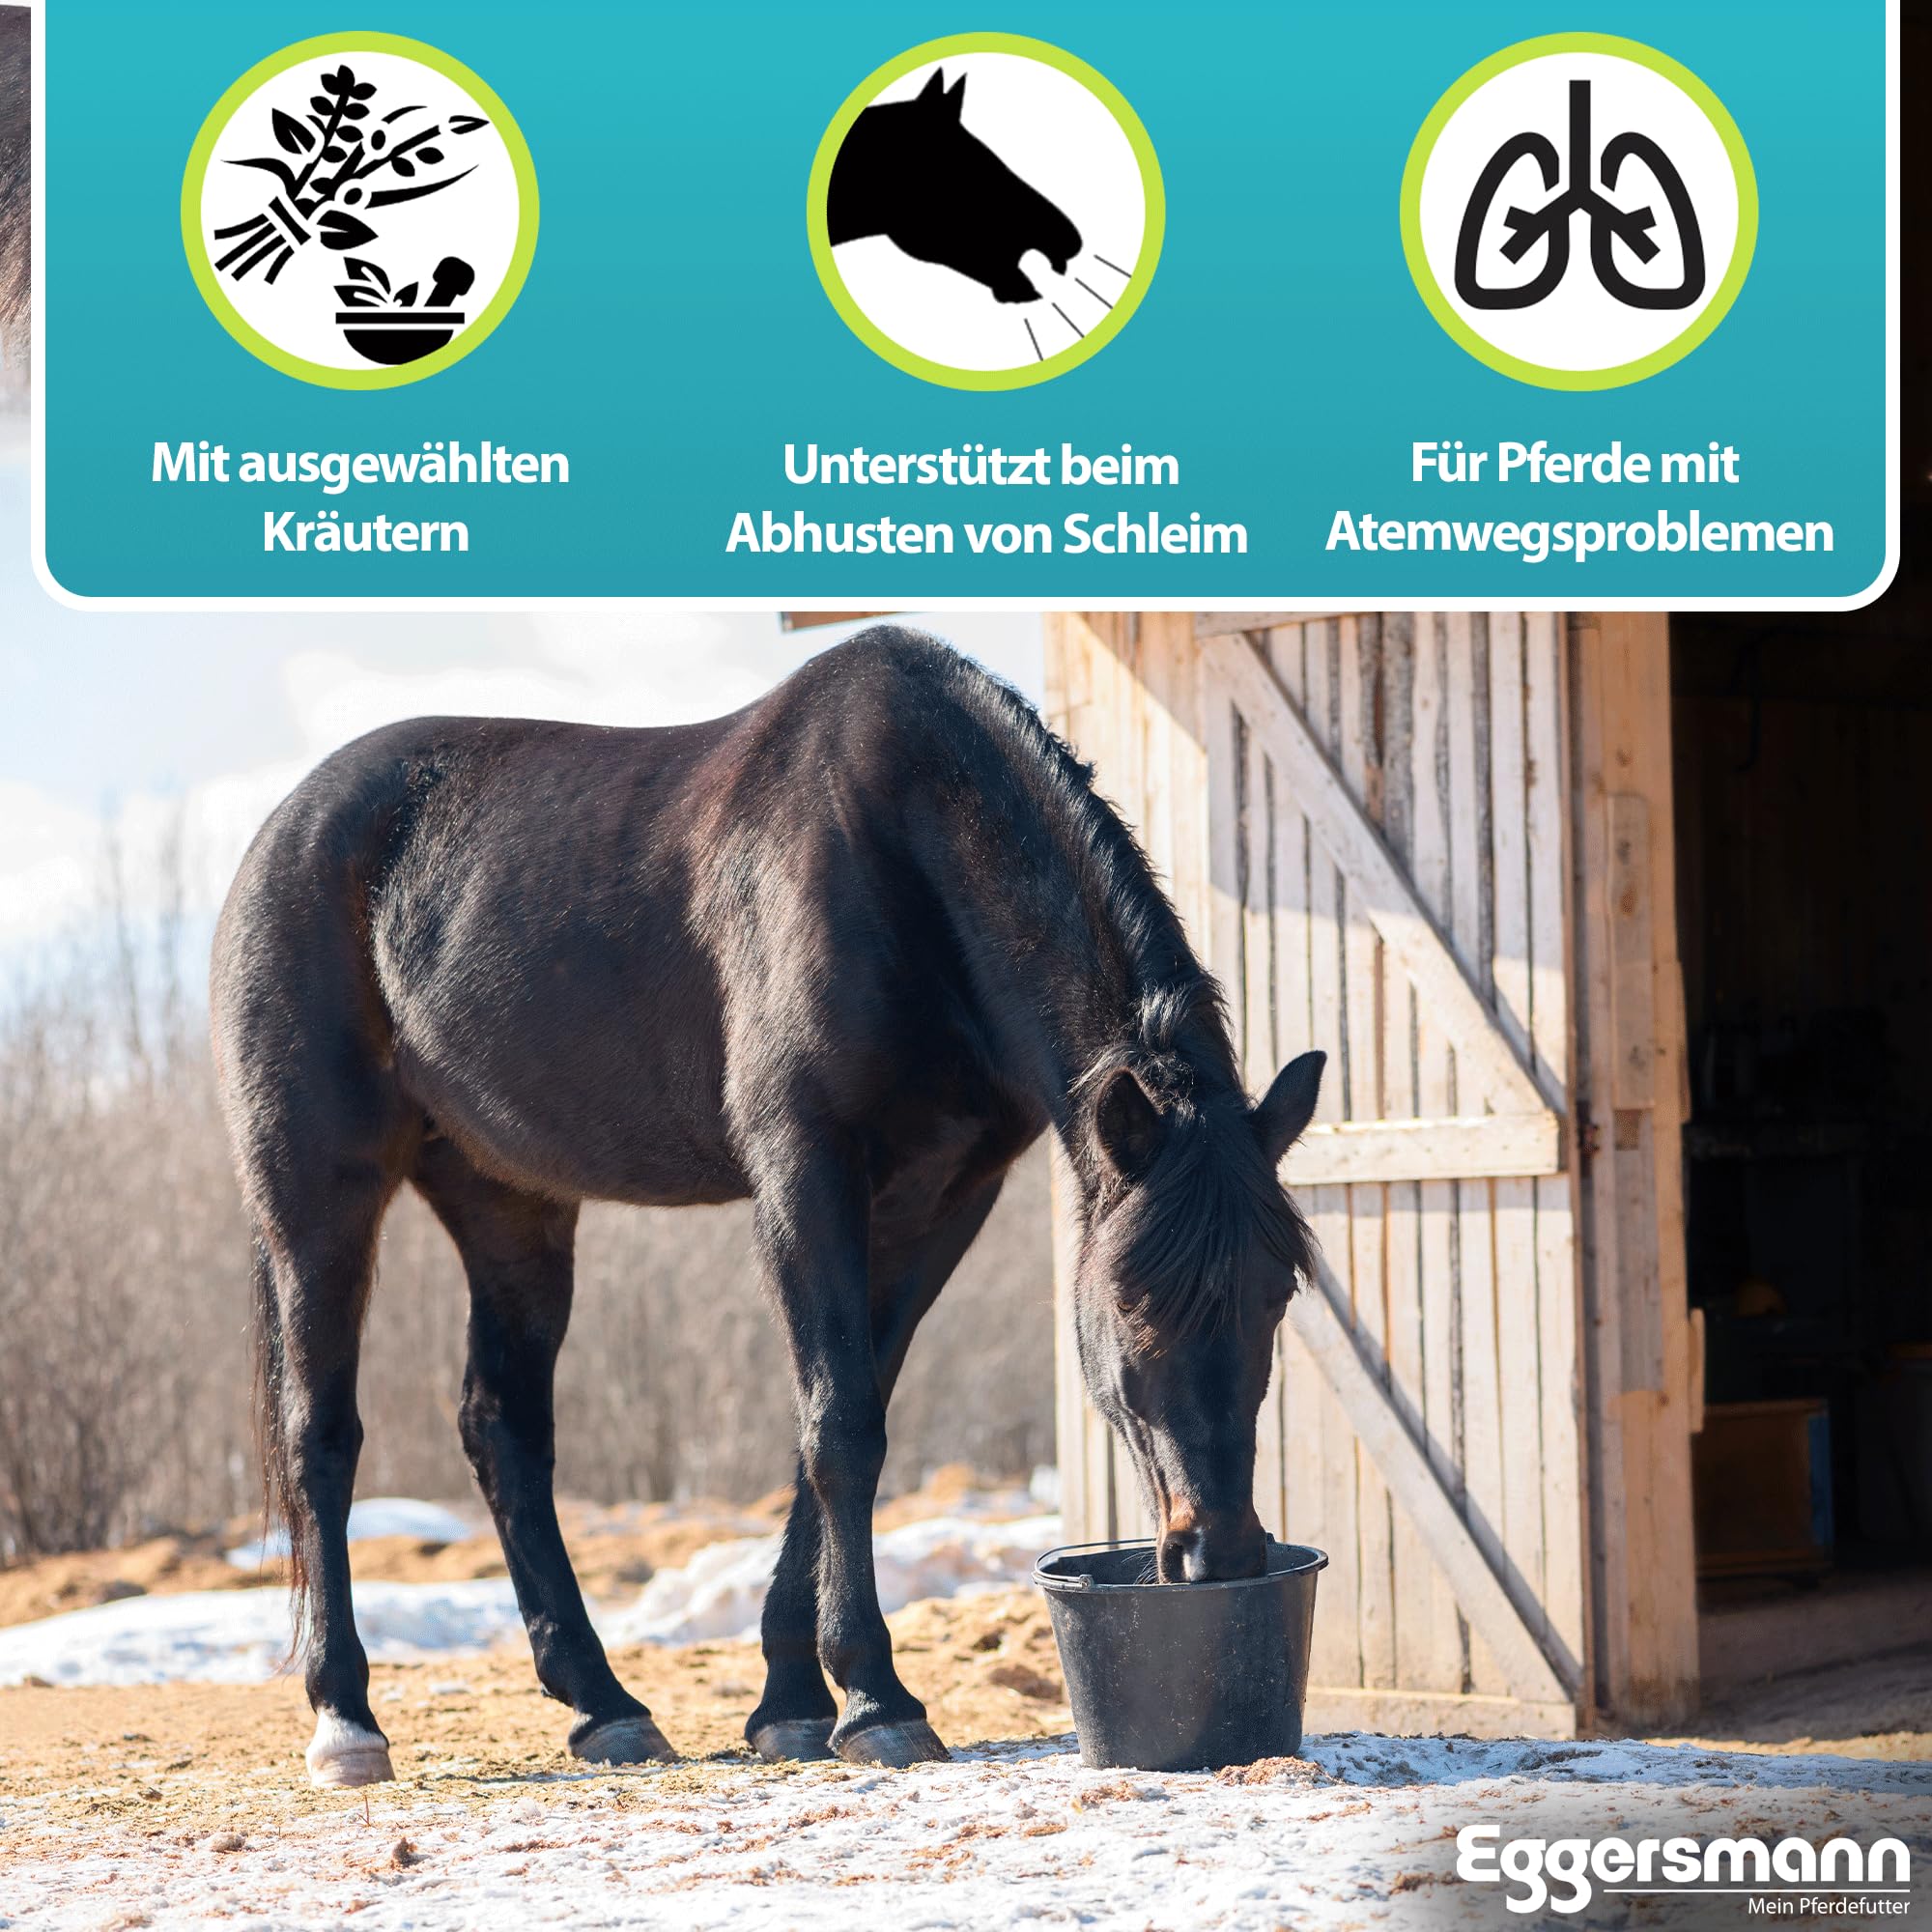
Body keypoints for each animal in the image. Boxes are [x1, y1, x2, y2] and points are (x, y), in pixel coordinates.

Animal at [210, 626, 1324, 1787]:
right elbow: (841, 1425)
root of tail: (286, 832)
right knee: (320, 1434)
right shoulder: (804, 1170)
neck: (904, 850)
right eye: (1133, 1303)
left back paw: (605, 1706)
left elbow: (834, 1422)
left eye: (1277, 1296)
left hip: (510, 1203)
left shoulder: (940, 1200)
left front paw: (794, 1698)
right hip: (316, 1193)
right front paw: (876, 1701)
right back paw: (346, 1718)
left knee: (502, 1425)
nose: (1219, 1552)